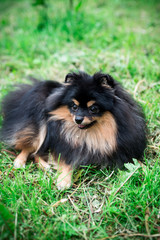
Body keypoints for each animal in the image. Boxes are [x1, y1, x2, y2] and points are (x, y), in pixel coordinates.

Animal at [0, 71, 147, 189]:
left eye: (93, 108)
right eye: (74, 107)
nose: (78, 119)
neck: (91, 134)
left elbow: (134, 160)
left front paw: (145, 168)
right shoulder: (64, 145)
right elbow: (66, 160)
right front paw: (64, 180)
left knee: (37, 153)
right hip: (38, 124)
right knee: (29, 147)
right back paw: (20, 162)